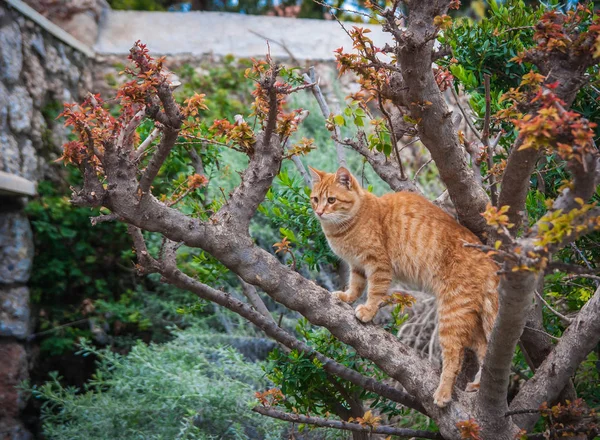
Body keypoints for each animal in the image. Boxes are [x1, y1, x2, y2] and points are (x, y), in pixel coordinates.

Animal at [308, 167, 500, 408]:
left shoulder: (378, 264)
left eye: (331, 200)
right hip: (470, 317)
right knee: (485, 349)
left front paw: (368, 310)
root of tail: (489, 259)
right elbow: (356, 286)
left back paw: (443, 393)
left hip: (452, 314)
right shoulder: (357, 266)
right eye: (315, 199)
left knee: (455, 356)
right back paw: (477, 384)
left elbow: (374, 291)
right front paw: (347, 297)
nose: (319, 212)